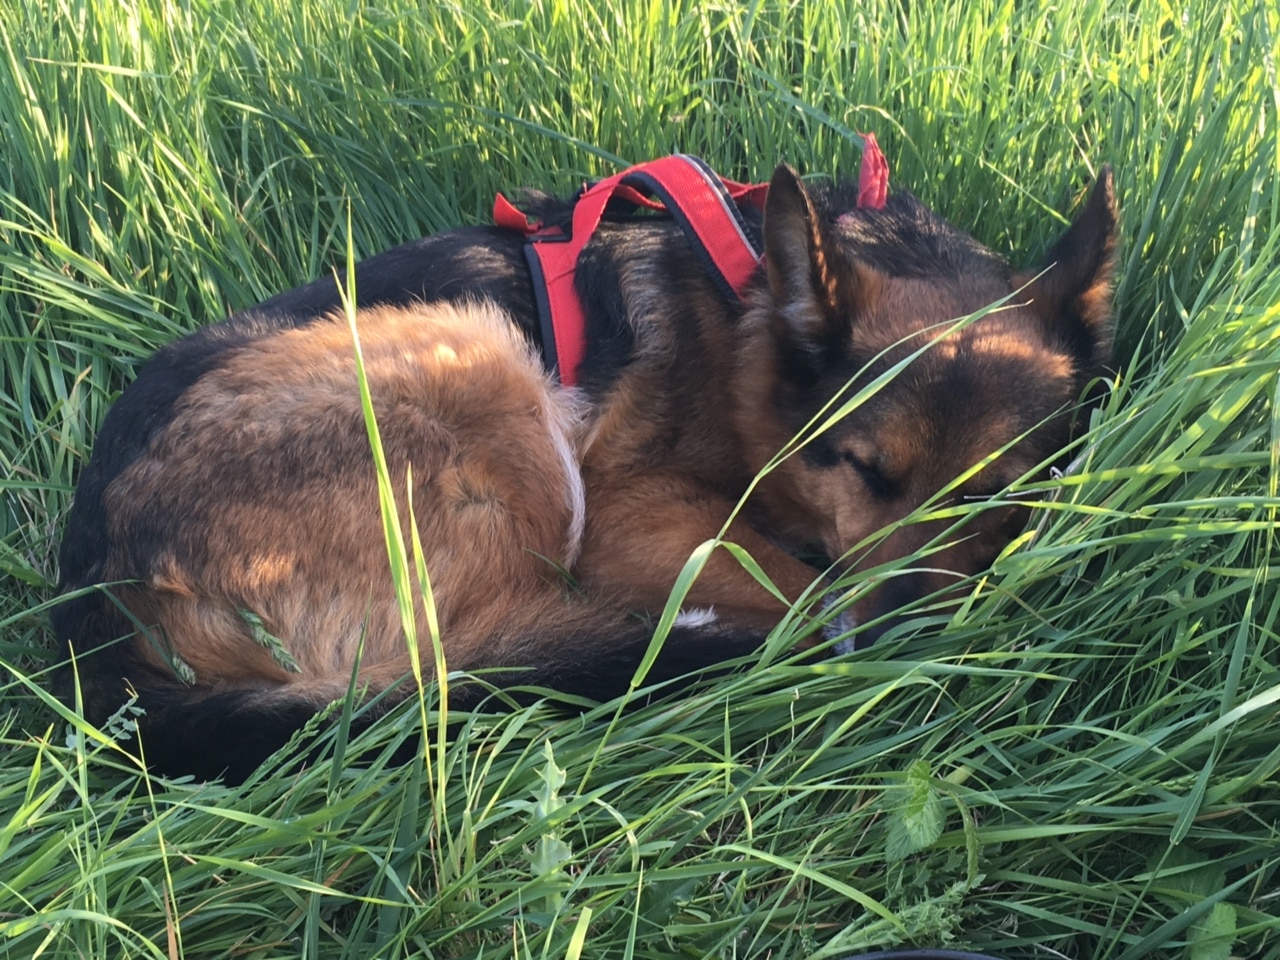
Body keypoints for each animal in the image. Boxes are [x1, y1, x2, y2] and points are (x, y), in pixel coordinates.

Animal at [49, 146, 1116, 783]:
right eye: (863, 469)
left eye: (1005, 496)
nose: (909, 660)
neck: (751, 324)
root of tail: (93, 618)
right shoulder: (629, 518)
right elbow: (802, 590)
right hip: (487, 372)